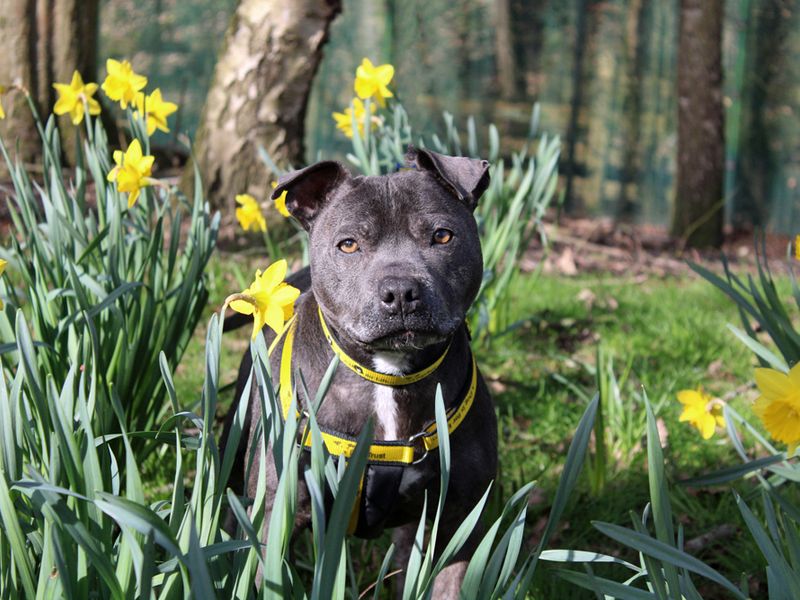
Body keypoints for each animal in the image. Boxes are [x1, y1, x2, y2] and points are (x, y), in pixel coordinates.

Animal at [225, 146, 496, 596]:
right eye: (348, 244)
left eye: (442, 236)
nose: (401, 291)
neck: (388, 374)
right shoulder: (275, 518)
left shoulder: (458, 524)